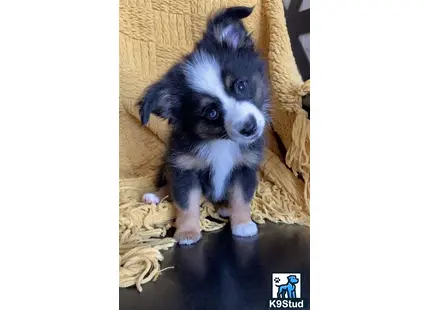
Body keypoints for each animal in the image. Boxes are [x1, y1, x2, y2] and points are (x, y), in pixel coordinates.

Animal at [139, 6, 270, 246]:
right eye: (211, 112)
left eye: (241, 85)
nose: (249, 127)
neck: (221, 141)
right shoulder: (184, 168)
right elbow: (186, 203)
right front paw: (187, 232)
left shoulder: (245, 167)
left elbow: (241, 198)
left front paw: (242, 224)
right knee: (167, 184)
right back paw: (154, 196)